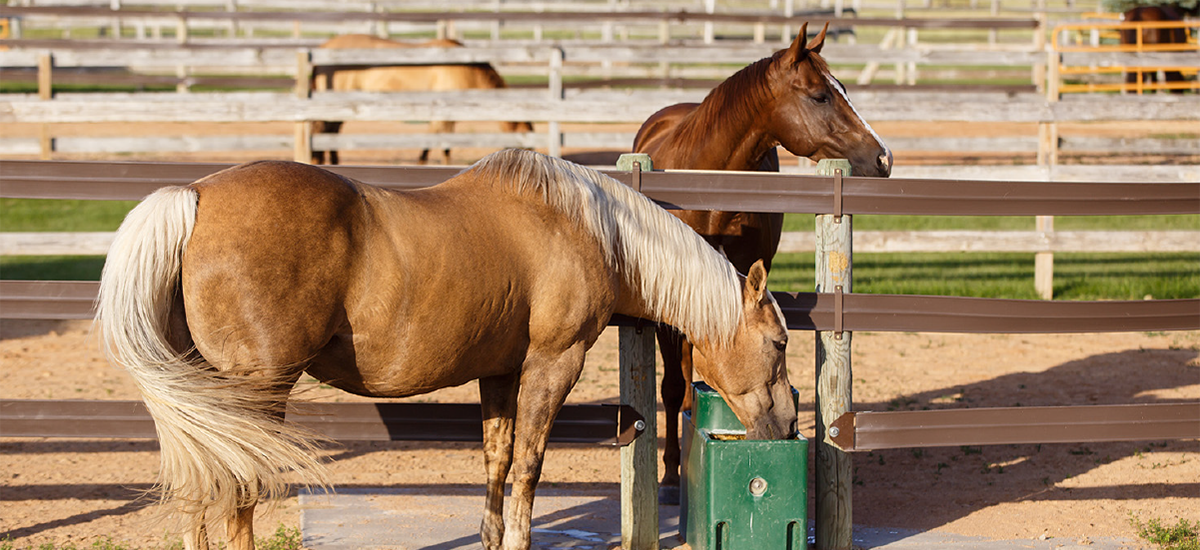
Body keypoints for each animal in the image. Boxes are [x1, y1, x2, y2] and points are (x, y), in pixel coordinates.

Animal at [94, 149, 797, 550]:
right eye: (779, 341)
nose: (789, 422)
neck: (588, 228)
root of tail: (194, 197)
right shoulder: (553, 364)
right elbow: (529, 464)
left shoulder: (500, 373)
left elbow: (496, 459)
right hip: (252, 398)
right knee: (236, 494)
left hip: (203, 403)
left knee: (197, 490)